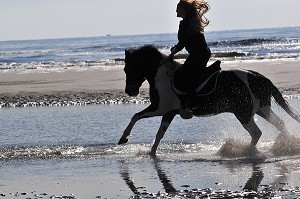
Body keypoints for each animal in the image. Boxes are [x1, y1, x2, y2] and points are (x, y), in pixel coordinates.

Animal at [118, 44, 300, 155]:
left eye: (127, 68)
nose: (130, 91)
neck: (161, 75)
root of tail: (259, 77)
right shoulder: (168, 113)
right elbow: (159, 134)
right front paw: (151, 153)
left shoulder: (159, 108)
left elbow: (135, 116)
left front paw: (123, 138)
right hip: (262, 110)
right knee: (279, 124)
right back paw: (286, 145)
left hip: (244, 113)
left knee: (256, 132)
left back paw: (245, 151)